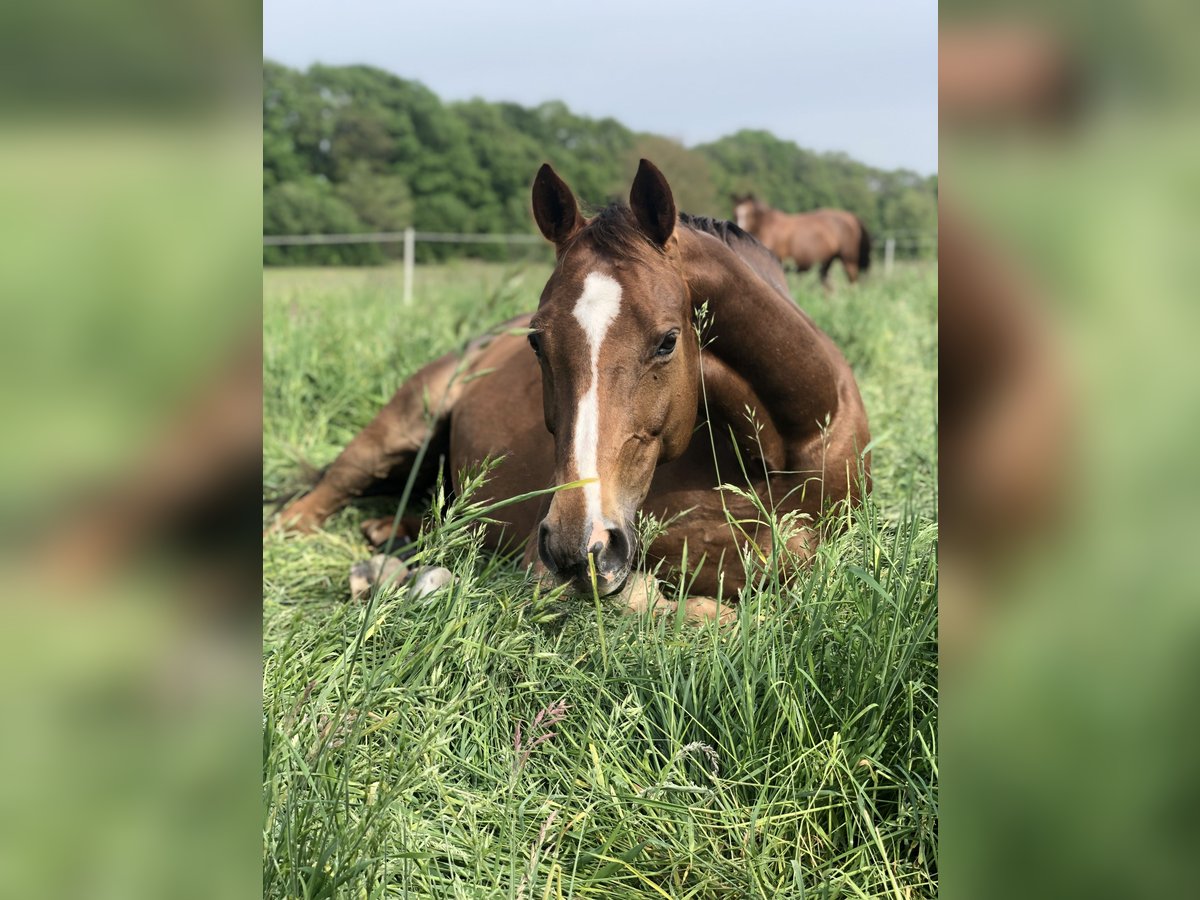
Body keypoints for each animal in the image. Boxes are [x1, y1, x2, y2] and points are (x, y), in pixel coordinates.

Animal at [274, 160, 868, 619]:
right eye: (537, 341)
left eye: (668, 341)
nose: (577, 545)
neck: (790, 445)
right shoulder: (554, 571)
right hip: (396, 433)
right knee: (311, 504)